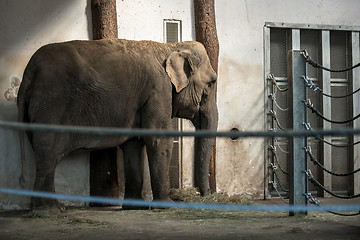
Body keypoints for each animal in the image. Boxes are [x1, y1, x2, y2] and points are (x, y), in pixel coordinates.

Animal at [17, 38, 217, 209]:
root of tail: (28, 74)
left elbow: (132, 144)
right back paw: (50, 210)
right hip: (51, 105)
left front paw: (134, 207)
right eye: (211, 83)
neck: (171, 47)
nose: (206, 195)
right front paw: (167, 206)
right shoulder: (158, 89)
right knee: (47, 153)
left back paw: (56, 208)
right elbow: (158, 140)